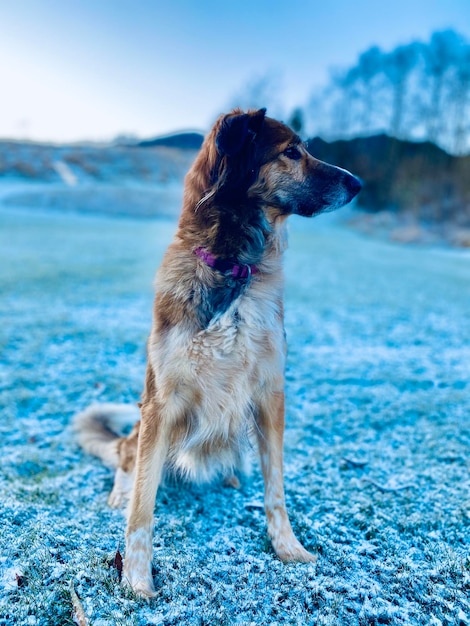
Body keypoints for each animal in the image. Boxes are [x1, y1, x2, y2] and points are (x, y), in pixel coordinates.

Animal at [73, 107, 362, 596]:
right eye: (291, 151)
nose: (358, 183)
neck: (233, 267)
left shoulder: (270, 393)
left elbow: (276, 488)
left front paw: (288, 549)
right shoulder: (160, 402)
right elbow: (142, 507)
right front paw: (137, 580)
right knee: (128, 456)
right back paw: (119, 490)